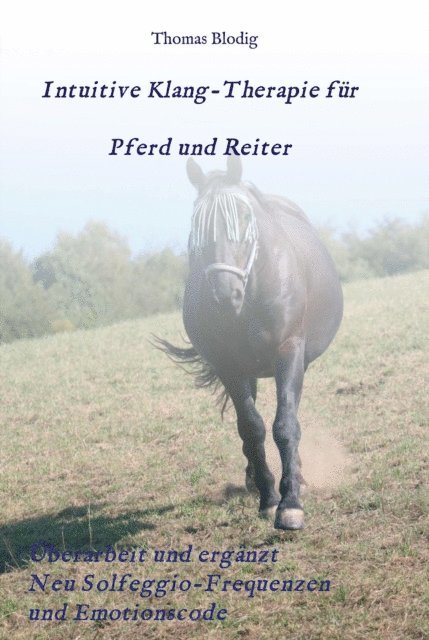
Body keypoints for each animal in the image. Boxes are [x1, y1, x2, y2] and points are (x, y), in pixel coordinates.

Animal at [158, 157, 343, 529]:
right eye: (197, 225)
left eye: (244, 217)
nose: (224, 294)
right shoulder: (229, 367)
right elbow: (251, 428)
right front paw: (269, 497)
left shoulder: (289, 352)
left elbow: (285, 425)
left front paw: (290, 503)